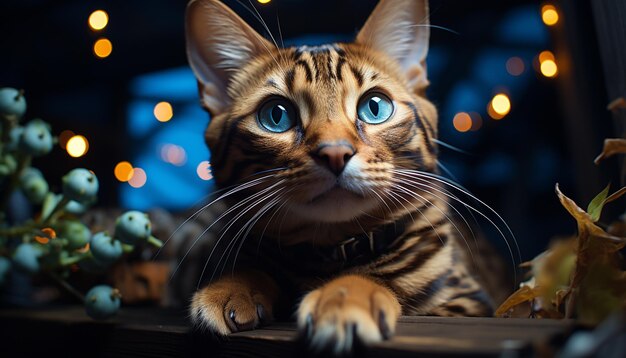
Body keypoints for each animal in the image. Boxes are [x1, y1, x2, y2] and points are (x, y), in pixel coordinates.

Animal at [183, 0, 494, 354]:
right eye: (276, 115)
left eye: (375, 107)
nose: (335, 153)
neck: (329, 251)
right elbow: (259, 267)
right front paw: (234, 285)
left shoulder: (467, 302)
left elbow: (383, 281)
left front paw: (344, 297)